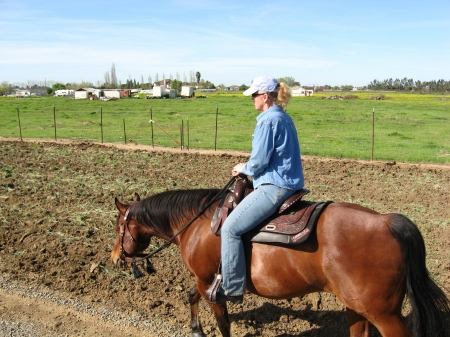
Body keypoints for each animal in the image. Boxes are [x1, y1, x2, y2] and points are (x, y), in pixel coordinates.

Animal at [110, 188, 450, 334]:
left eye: (118, 226)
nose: (114, 258)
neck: (198, 222)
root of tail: (387, 222)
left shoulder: (210, 284)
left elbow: (222, 323)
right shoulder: (204, 281)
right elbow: (190, 295)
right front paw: (195, 329)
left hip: (385, 314)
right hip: (357, 308)